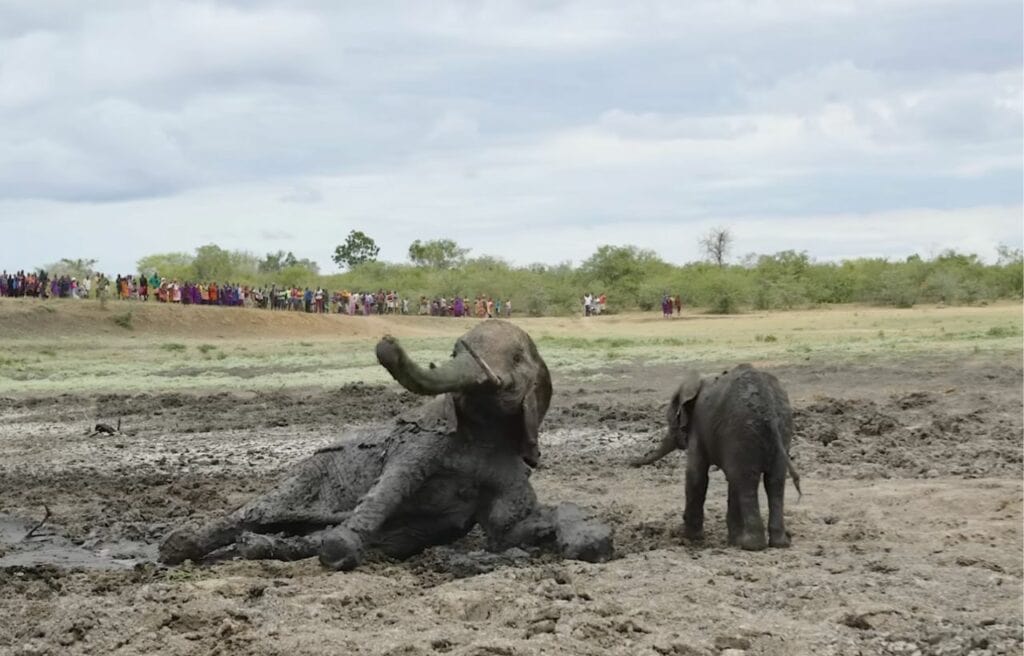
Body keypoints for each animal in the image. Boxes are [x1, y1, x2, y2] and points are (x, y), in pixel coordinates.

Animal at [158, 320, 613, 570]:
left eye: (518, 358)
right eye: (454, 349)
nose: (386, 341)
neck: (482, 432)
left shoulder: (508, 465)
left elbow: (507, 532)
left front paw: (590, 541)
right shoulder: (418, 445)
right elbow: (391, 487)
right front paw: (340, 549)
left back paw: (261, 547)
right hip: (302, 477)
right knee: (251, 513)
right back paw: (178, 548)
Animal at [631, 364, 801, 551]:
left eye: (672, 419)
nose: (631, 462)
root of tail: (768, 409)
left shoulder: (698, 429)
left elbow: (696, 476)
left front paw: (692, 539)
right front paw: (732, 540)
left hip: (741, 431)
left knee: (746, 481)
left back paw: (752, 545)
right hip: (781, 429)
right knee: (773, 481)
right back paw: (779, 544)